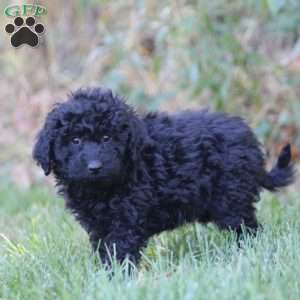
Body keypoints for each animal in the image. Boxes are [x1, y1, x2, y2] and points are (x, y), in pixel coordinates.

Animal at [32, 88, 292, 266]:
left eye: (107, 138)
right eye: (75, 140)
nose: (95, 167)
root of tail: (252, 146)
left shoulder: (127, 219)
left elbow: (120, 250)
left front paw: (117, 278)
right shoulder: (99, 225)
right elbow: (105, 249)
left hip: (231, 200)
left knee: (248, 229)